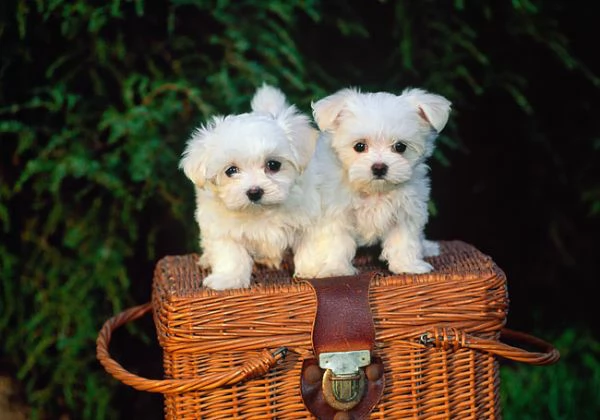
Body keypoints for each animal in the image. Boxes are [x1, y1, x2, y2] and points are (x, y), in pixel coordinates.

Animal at [180, 84, 318, 290]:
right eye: (231, 170)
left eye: (273, 165)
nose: (254, 192)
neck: (260, 212)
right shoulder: (220, 227)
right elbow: (230, 254)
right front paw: (228, 279)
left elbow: (313, 244)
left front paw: (317, 269)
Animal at [296, 87, 450, 278]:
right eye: (359, 146)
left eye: (400, 147)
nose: (379, 167)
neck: (374, 191)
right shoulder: (335, 213)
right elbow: (336, 242)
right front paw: (336, 269)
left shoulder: (405, 212)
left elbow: (405, 241)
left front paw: (408, 266)